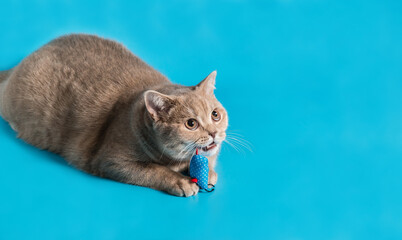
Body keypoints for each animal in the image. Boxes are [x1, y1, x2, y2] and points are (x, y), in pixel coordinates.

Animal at [0, 33, 228, 197]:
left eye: (215, 115)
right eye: (191, 124)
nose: (214, 132)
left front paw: (208, 173)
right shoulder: (113, 162)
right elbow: (154, 170)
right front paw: (181, 181)